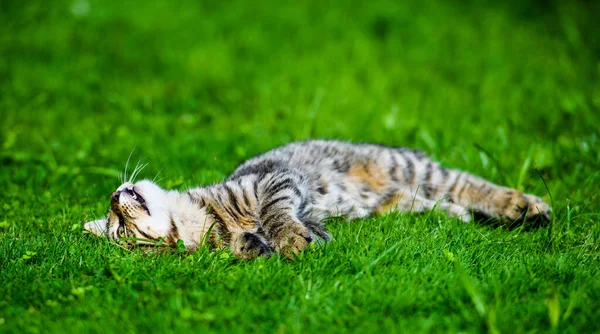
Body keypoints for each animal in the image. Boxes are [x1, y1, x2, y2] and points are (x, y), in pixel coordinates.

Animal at [82, 140, 552, 260]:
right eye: (121, 230)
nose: (115, 195)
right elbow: (248, 245)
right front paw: (257, 247)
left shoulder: (275, 181)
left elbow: (276, 215)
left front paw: (285, 237)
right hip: (406, 196)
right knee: (444, 201)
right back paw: (460, 216)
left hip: (412, 168)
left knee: (472, 185)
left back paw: (523, 206)